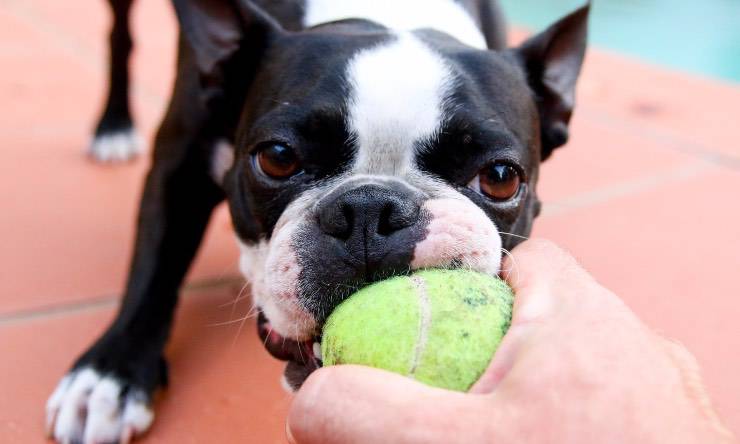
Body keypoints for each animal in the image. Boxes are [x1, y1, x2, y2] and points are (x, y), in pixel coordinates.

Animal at [46, 1, 588, 442]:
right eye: (277, 157)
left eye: (500, 177)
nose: (370, 209)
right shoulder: (179, 161)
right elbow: (154, 269)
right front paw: (108, 377)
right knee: (119, 34)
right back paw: (113, 127)